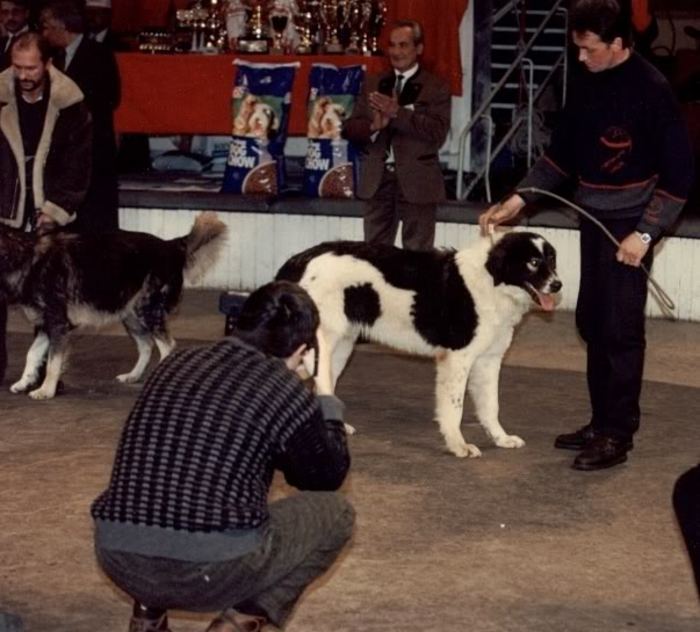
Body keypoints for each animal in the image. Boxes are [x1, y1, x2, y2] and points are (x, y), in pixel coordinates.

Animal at [0, 212, 227, 400]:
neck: (27, 259)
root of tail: (170, 245)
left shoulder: (57, 324)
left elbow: (52, 363)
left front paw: (46, 390)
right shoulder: (45, 325)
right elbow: (32, 354)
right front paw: (24, 382)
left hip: (147, 311)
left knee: (167, 347)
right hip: (131, 316)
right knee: (147, 345)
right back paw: (133, 376)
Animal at [274, 232, 564, 460]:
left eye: (551, 260)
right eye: (533, 262)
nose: (558, 284)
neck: (492, 282)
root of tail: (299, 260)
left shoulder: (489, 360)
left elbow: (491, 406)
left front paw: (501, 438)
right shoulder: (458, 358)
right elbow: (454, 408)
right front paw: (458, 445)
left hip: (341, 346)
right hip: (322, 343)